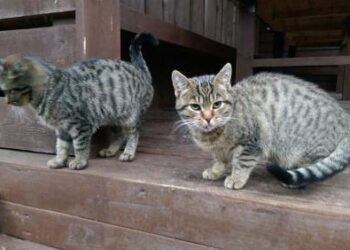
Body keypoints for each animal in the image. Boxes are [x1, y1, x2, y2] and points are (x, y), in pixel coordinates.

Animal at [0, 32, 159, 170]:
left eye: (12, 90)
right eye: (4, 91)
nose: (7, 102)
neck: (48, 90)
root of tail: (139, 69)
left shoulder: (80, 124)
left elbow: (80, 145)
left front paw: (79, 161)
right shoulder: (61, 128)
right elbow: (61, 146)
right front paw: (59, 160)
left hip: (130, 117)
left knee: (133, 134)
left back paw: (128, 153)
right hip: (113, 116)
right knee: (120, 134)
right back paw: (111, 150)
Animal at [172, 64, 350, 189]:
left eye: (217, 104)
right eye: (195, 107)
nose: (208, 118)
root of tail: (344, 117)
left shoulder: (252, 141)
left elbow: (242, 162)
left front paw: (236, 178)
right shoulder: (219, 150)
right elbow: (220, 160)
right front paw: (216, 170)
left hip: (307, 149)